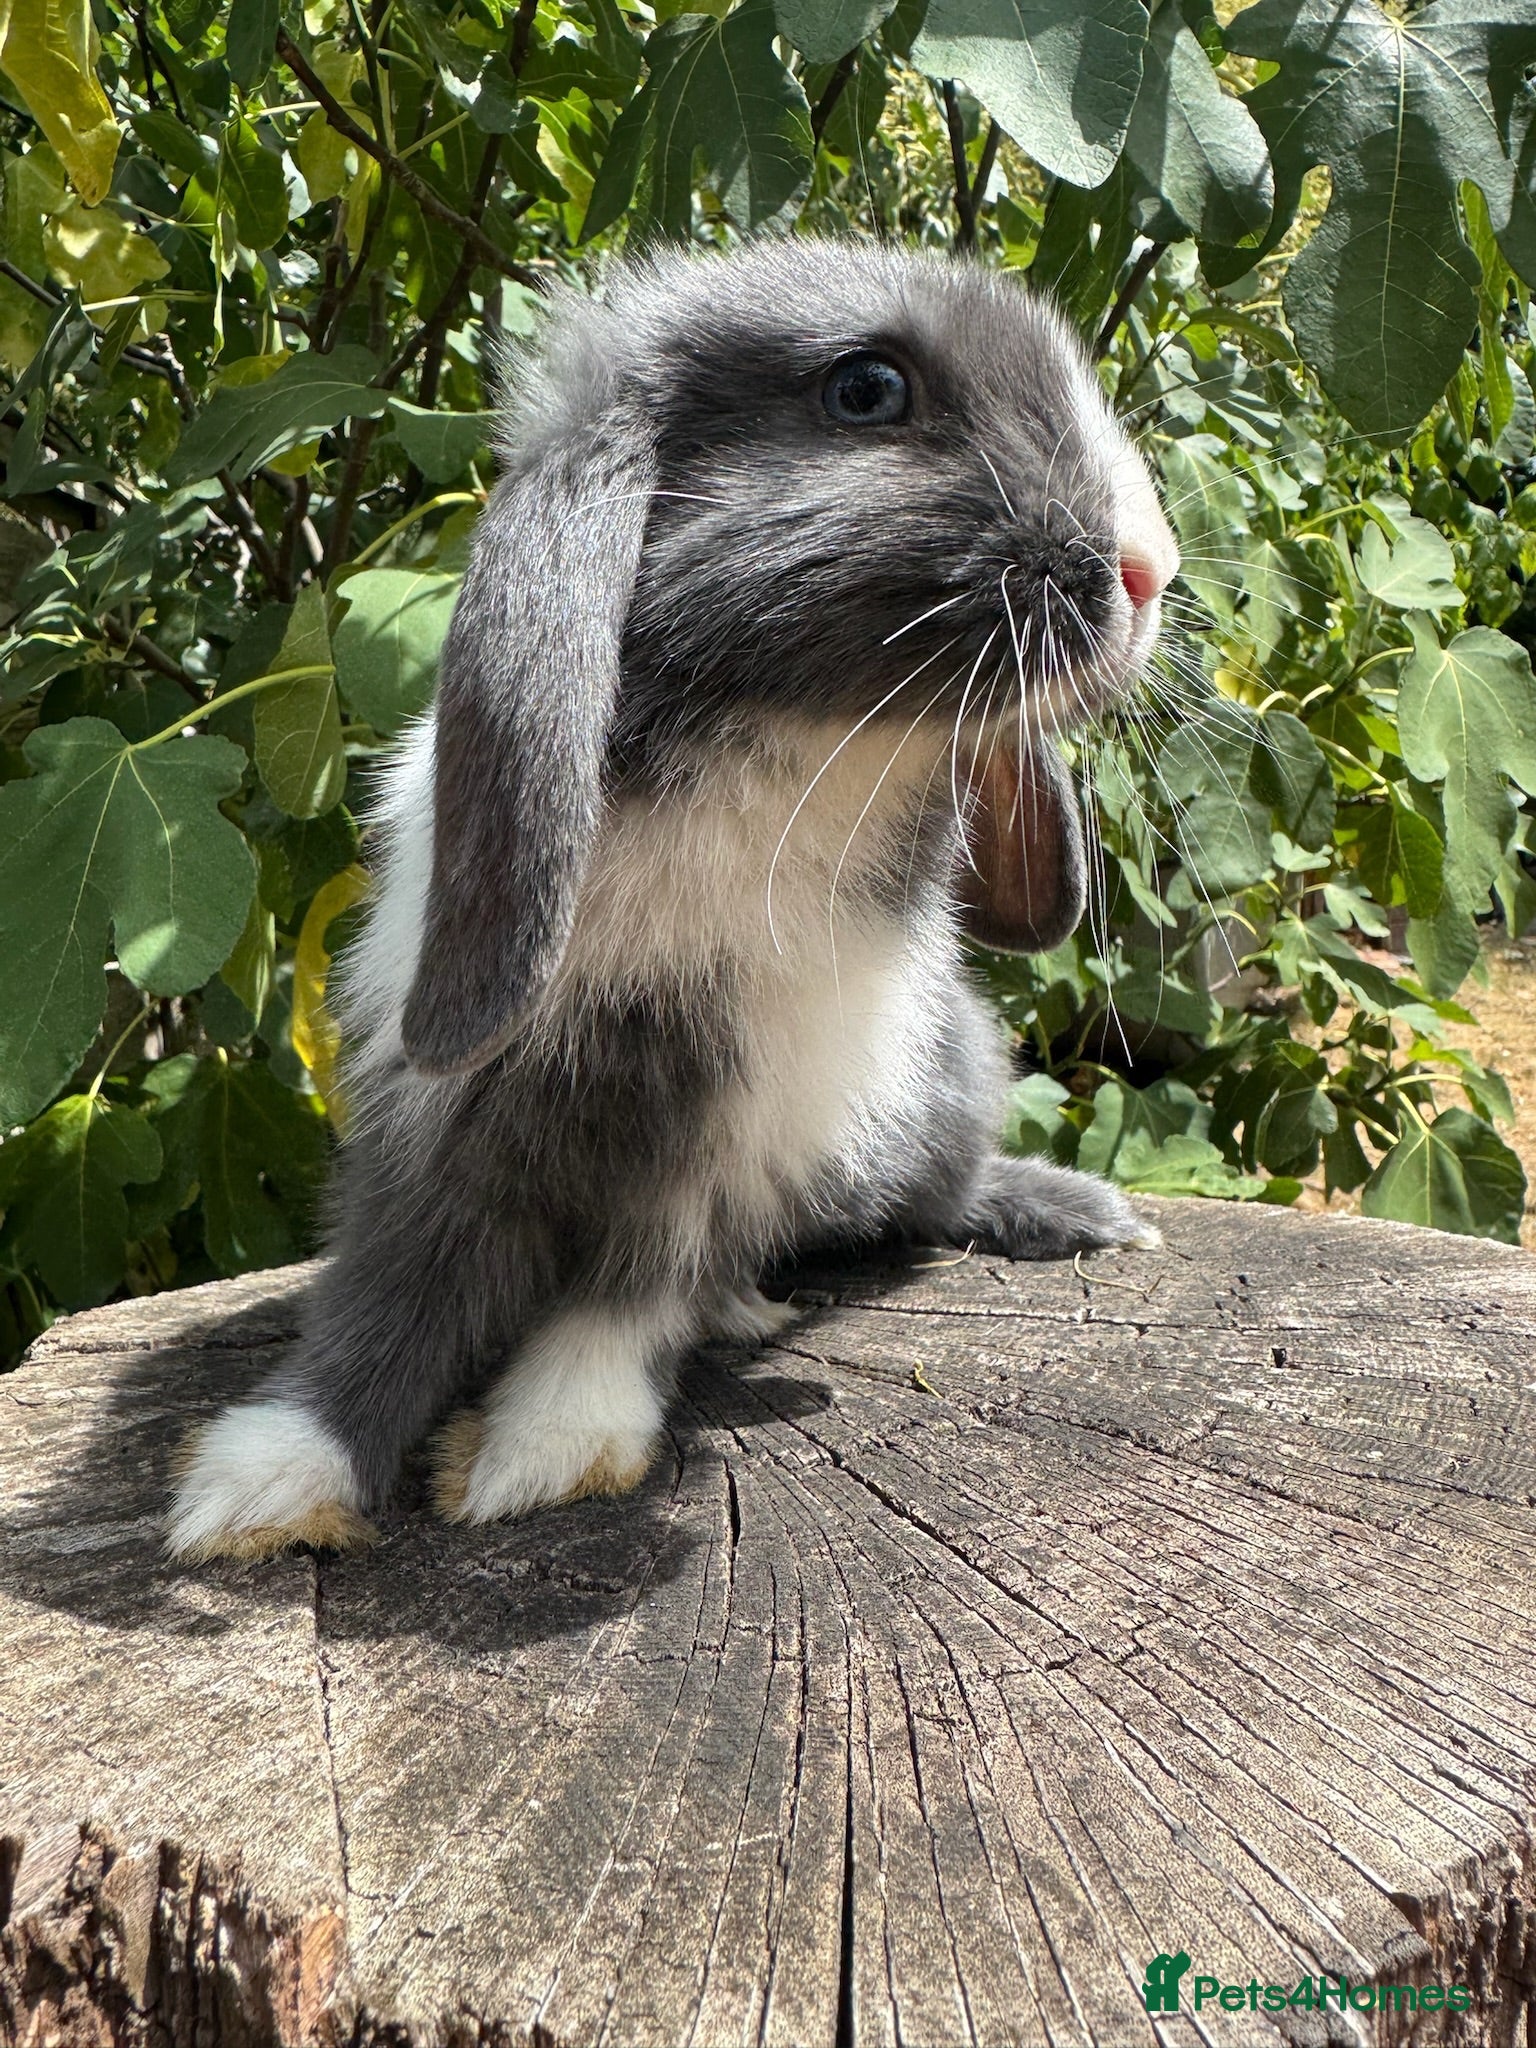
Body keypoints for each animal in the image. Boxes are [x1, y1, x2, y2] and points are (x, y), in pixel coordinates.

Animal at [167, 239, 1179, 1562]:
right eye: (867, 391)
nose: (1150, 571)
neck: (789, 744)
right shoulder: (438, 1109)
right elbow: (394, 1283)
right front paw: (264, 1478)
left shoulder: (721, 1135)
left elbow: (635, 1285)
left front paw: (543, 1448)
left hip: (948, 1078)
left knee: (938, 1195)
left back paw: (1066, 1210)